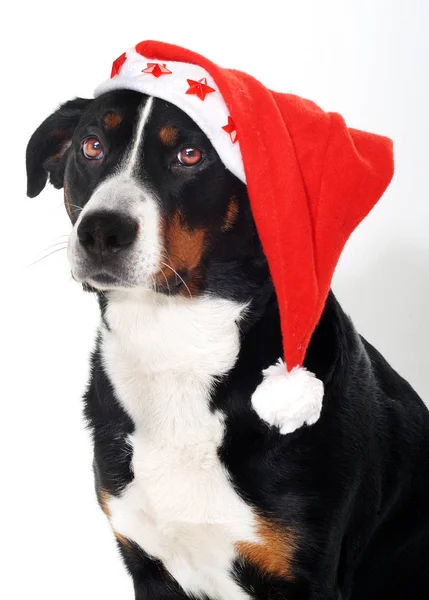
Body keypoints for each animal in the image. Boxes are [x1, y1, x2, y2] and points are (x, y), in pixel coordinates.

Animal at [25, 90, 428, 600]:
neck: (174, 347)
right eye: (91, 146)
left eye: (189, 155)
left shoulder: (303, 575)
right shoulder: (146, 562)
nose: (101, 230)